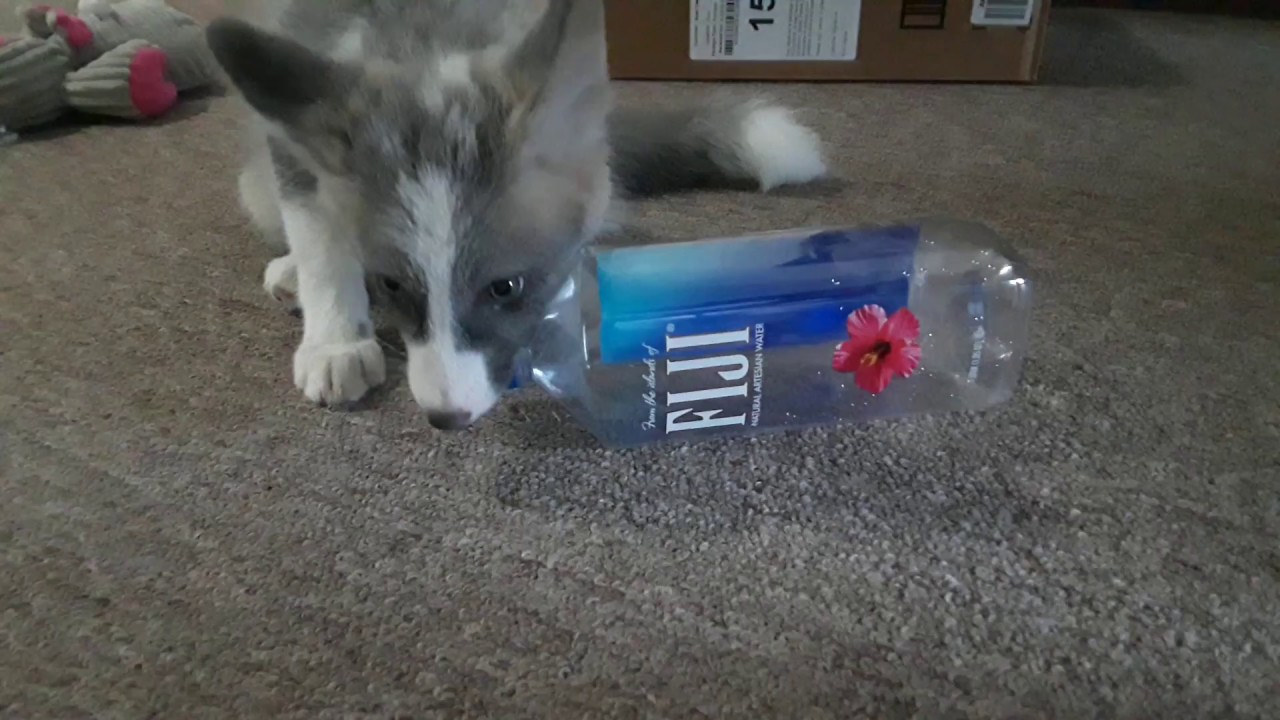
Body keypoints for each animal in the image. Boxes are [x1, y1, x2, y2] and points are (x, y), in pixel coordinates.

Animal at [205, 0, 827, 431]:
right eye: (392, 285)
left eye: (504, 287)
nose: (446, 418)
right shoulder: (291, 123)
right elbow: (320, 238)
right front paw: (335, 339)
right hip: (254, 183)